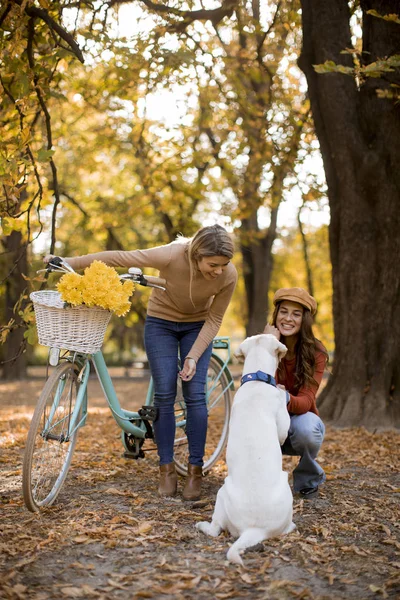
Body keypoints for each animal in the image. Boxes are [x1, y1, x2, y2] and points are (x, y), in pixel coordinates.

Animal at [195, 336, 296, 564]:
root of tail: (255, 529)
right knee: (214, 529)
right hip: (224, 492)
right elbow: (283, 429)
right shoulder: (282, 426)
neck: (257, 379)